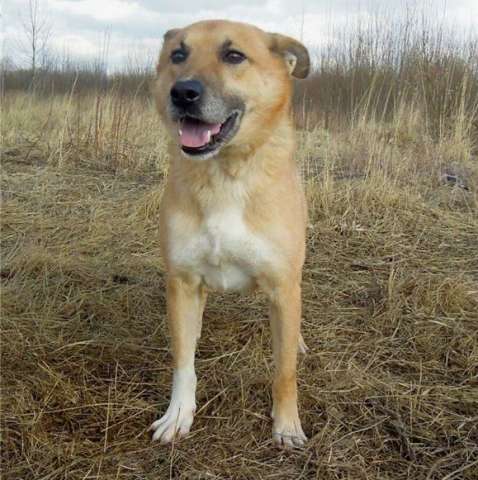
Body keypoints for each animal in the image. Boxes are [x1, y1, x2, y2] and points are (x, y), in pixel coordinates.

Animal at [149, 17, 312, 446]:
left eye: (234, 55)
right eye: (178, 54)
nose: (182, 92)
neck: (224, 173)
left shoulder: (283, 286)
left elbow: (284, 370)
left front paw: (286, 424)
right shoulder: (182, 282)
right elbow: (183, 362)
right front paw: (178, 414)